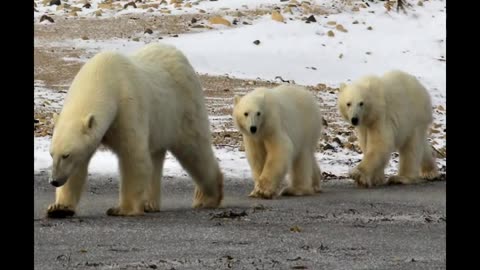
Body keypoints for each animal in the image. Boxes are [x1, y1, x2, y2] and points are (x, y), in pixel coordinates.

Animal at [47, 43, 223, 218]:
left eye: (66, 155)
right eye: (52, 154)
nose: (54, 181)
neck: (103, 78)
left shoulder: (127, 105)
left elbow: (133, 156)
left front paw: (122, 209)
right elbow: (78, 167)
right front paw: (59, 208)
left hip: (183, 108)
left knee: (194, 150)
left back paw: (207, 198)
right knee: (156, 156)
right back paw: (149, 204)